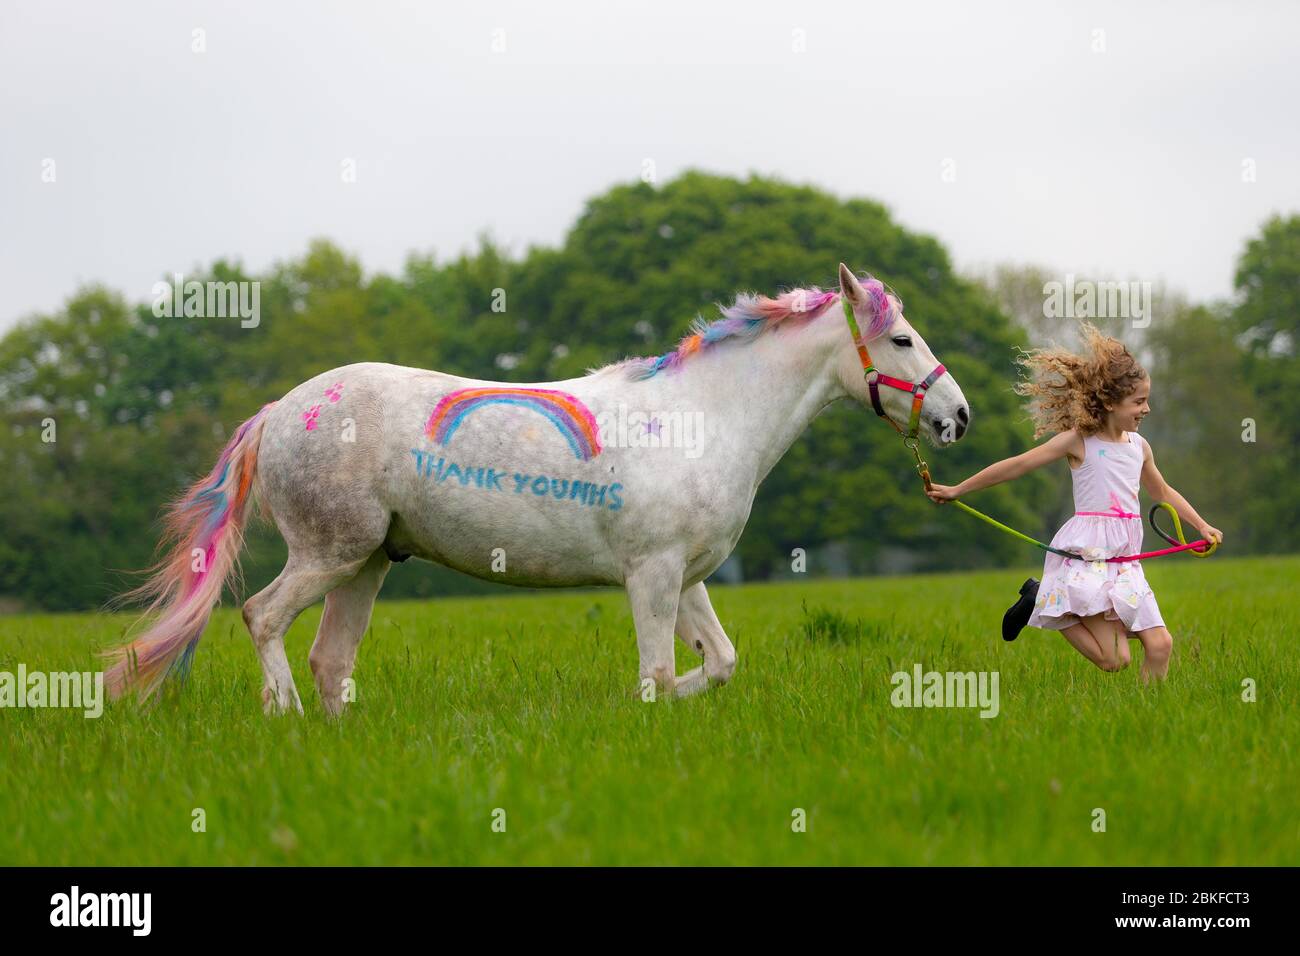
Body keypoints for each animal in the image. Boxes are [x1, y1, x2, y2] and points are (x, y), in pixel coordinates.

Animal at [109, 265, 967, 712]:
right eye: (900, 338)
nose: (957, 416)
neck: (703, 417)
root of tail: (278, 412)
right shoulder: (652, 573)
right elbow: (658, 672)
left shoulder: (684, 575)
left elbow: (718, 663)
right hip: (331, 553)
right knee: (262, 618)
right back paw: (281, 712)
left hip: (368, 564)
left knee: (329, 658)